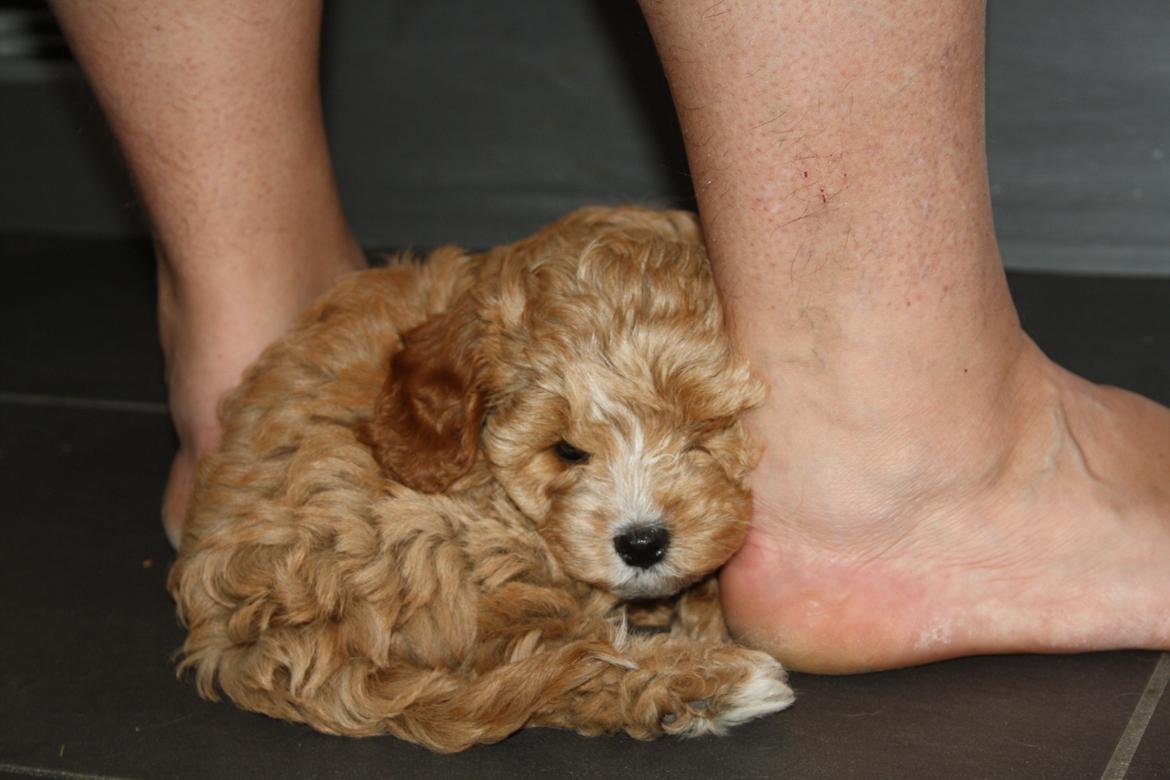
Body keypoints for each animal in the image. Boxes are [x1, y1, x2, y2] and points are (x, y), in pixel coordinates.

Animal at [169, 205, 795, 748]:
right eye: (567, 450)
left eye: (701, 434)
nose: (641, 544)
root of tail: (235, 635)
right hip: (429, 545)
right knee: (548, 658)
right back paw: (708, 681)